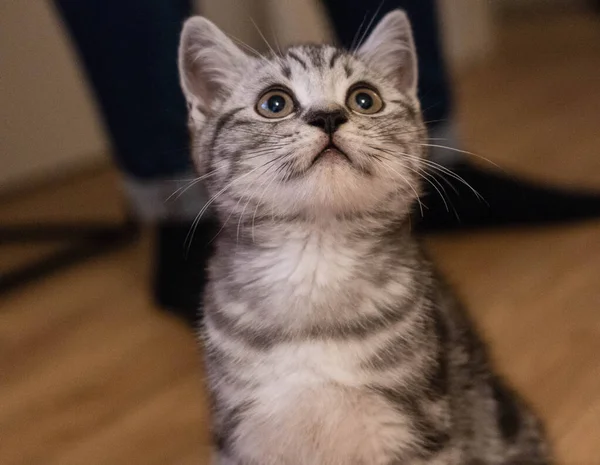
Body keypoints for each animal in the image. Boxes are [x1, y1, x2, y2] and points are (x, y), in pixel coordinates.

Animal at [177, 8, 548, 464]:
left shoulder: (420, 432)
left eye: (364, 99)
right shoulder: (243, 437)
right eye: (274, 103)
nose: (328, 116)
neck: (316, 260)